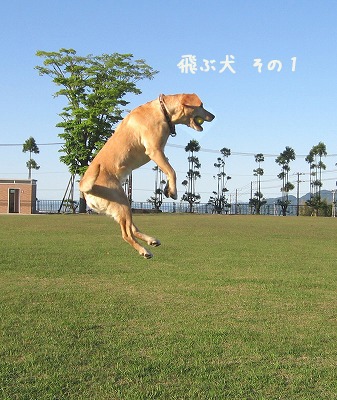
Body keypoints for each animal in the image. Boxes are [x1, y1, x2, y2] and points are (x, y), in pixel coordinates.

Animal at [80, 93, 214, 260]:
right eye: (201, 106)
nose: (213, 116)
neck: (163, 111)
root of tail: (84, 189)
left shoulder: (160, 154)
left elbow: (168, 170)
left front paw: (168, 188)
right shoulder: (154, 150)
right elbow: (172, 171)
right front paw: (173, 191)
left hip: (121, 207)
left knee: (132, 229)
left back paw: (151, 240)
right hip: (122, 201)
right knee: (126, 234)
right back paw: (144, 250)